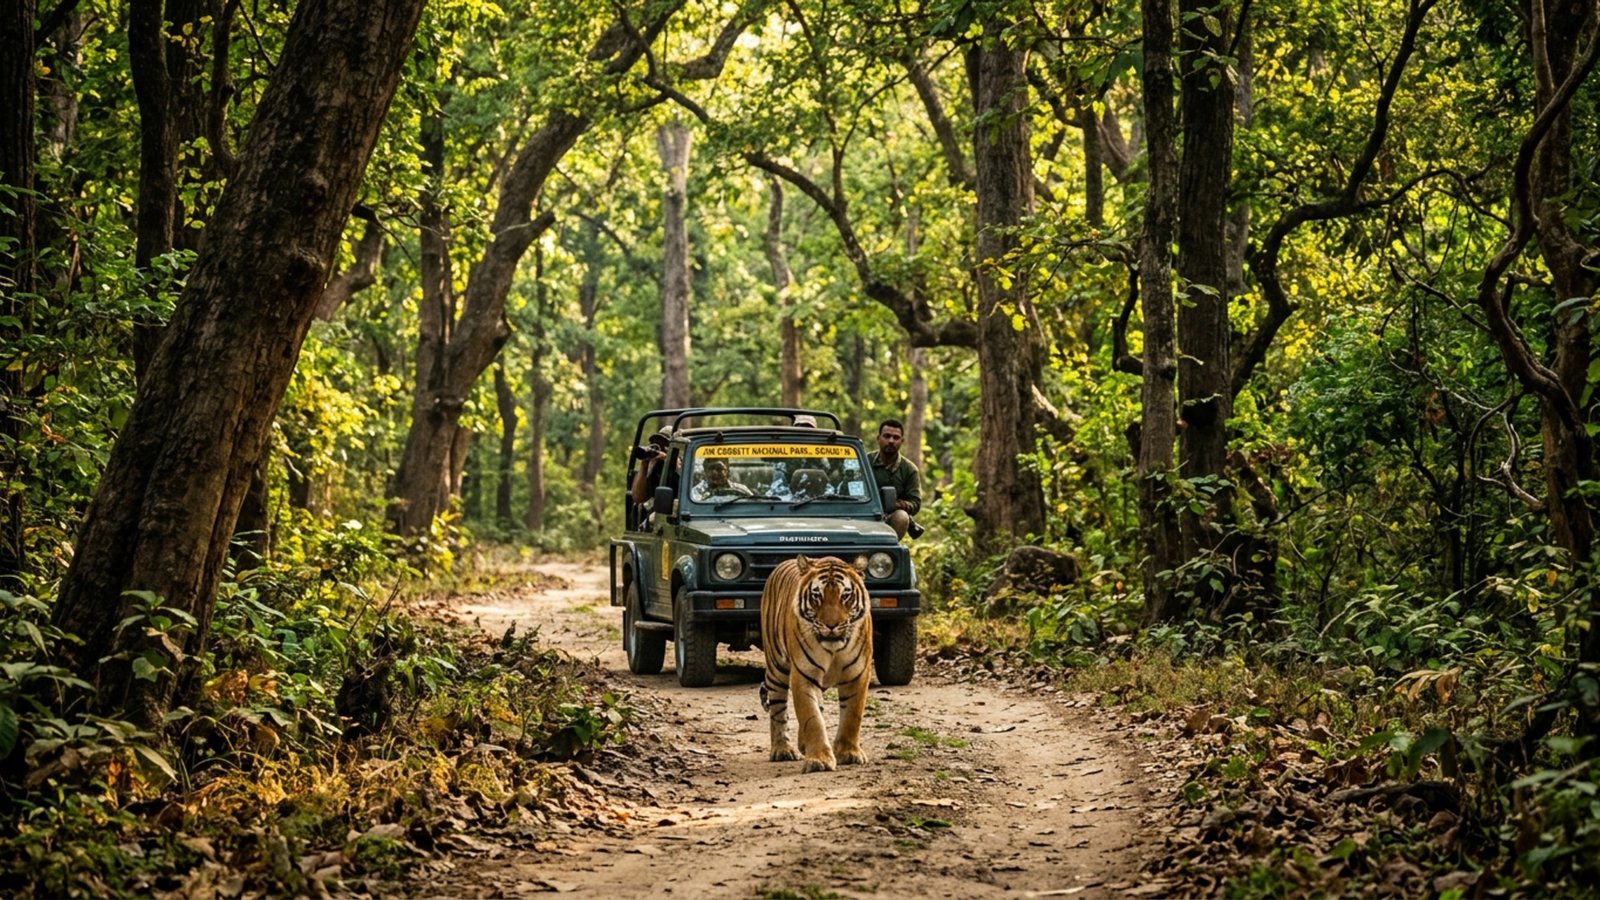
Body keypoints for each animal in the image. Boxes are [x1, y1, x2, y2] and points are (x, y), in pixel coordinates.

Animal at [759, 554, 874, 773]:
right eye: (817, 596)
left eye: (845, 596)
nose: (831, 625)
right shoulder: (804, 675)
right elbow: (812, 719)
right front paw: (819, 759)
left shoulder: (858, 674)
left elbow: (852, 716)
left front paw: (849, 753)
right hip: (777, 667)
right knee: (778, 711)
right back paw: (782, 749)